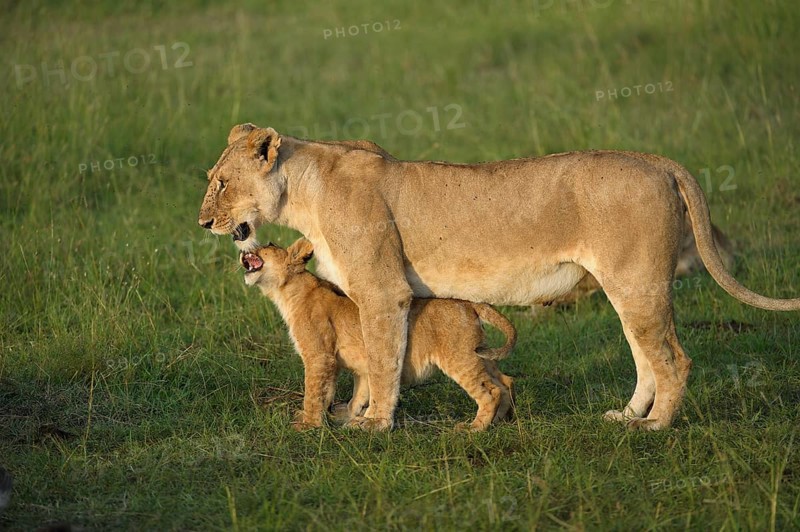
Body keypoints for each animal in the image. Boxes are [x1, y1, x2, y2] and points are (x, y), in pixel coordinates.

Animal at [241, 238, 516, 431]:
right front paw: (347, 417)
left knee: (490, 391)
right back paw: (500, 422)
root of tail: (471, 303)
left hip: (459, 357)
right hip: (479, 354)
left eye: (269, 245)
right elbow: (349, 392)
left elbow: (313, 392)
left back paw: (474, 429)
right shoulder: (349, 363)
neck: (286, 292)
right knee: (505, 381)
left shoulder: (319, 356)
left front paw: (307, 425)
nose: (245, 246)